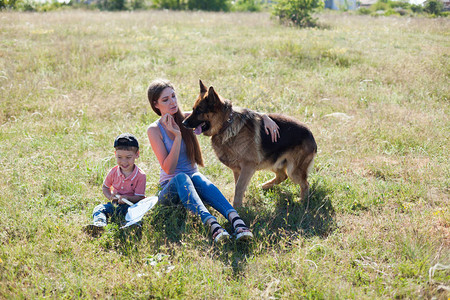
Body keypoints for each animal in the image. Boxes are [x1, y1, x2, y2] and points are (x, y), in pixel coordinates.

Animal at [182, 81, 316, 207]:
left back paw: (302, 201)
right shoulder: (238, 170)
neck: (226, 125)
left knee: (305, 184)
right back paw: (264, 186)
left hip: (293, 170)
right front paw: (242, 203)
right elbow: (238, 186)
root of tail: (311, 135)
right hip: (273, 162)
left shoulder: (248, 166)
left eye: (199, 111)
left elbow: (239, 187)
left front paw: (237, 208)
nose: (183, 123)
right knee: (282, 176)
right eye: (193, 109)